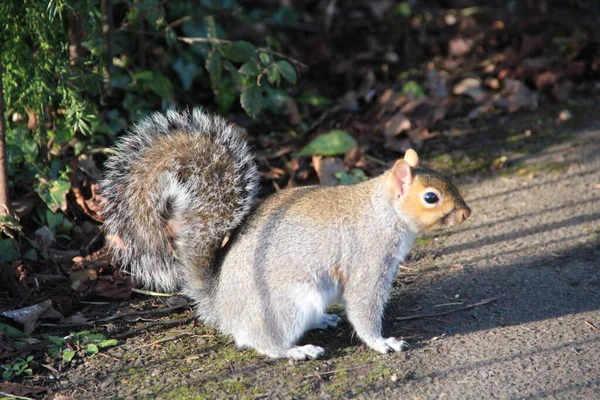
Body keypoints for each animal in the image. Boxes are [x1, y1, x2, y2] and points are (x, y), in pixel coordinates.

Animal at [101, 108, 472, 360]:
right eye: (430, 197)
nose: (467, 213)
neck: (383, 212)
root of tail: (220, 306)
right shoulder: (368, 262)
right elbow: (364, 309)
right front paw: (383, 343)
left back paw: (322, 321)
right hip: (286, 303)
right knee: (259, 341)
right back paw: (296, 350)